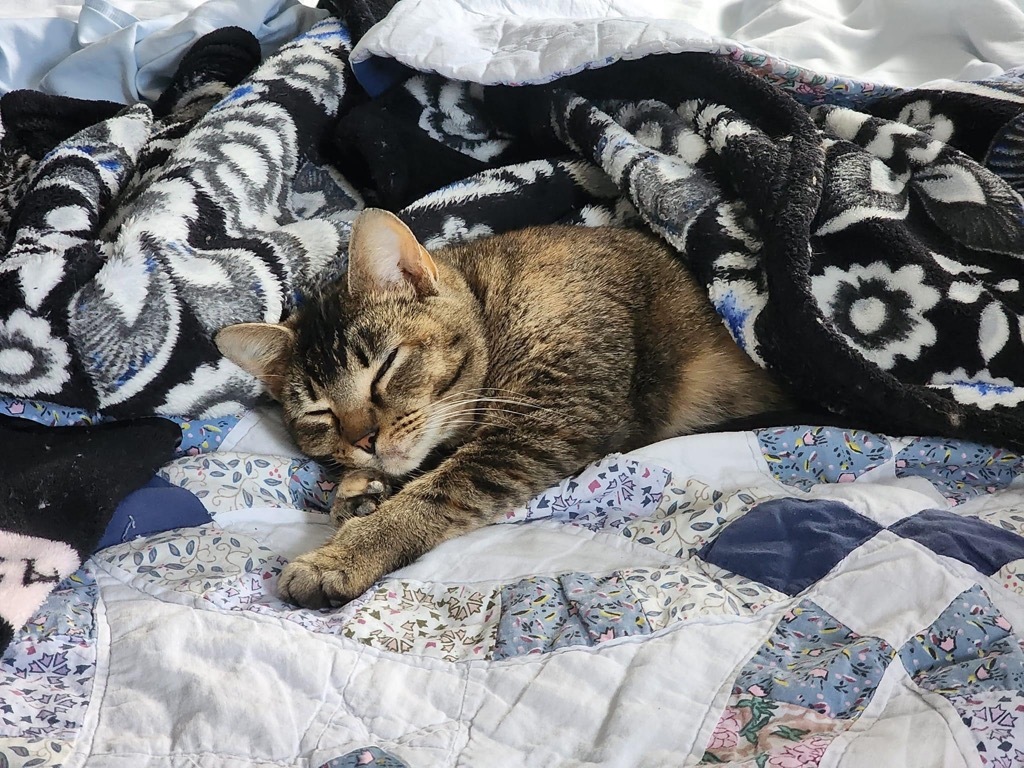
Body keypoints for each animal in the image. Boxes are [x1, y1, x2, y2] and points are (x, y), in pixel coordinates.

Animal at [216, 207, 786, 610]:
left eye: (386, 367)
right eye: (319, 414)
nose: (363, 441)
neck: (490, 297)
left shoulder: (543, 421)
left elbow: (434, 495)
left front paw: (343, 554)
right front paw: (361, 490)